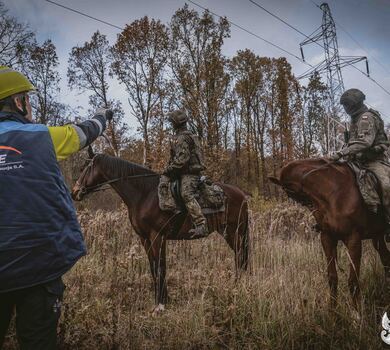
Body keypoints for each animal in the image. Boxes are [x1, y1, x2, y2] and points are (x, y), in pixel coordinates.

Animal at [72, 150, 250, 314]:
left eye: (84, 167)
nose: (75, 192)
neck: (145, 194)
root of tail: (241, 194)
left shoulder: (157, 236)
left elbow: (160, 267)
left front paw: (161, 304)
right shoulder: (144, 238)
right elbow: (153, 267)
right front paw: (162, 299)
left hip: (235, 232)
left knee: (240, 256)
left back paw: (238, 285)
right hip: (228, 232)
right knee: (239, 256)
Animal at [270, 159, 390, 308]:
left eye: (291, 193)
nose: (316, 215)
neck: (333, 194)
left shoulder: (353, 239)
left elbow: (353, 281)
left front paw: (357, 311)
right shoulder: (327, 238)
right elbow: (332, 278)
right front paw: (333, 310)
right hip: (377, 236)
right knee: (386, 259)